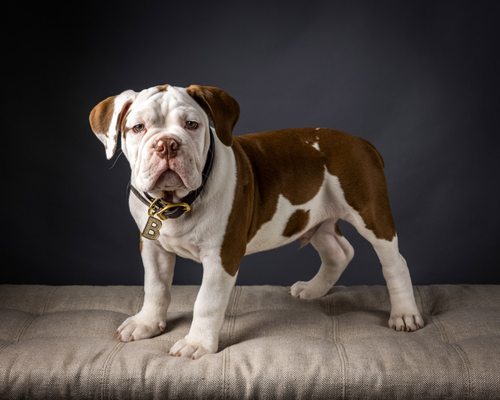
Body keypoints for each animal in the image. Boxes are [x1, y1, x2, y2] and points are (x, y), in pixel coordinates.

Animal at [89, 84, 422, 360]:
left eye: (191, 125)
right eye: (137, 128)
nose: (167, 144)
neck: (175, 202)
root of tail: (361, 142)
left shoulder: (221, 257)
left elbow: (206, 302)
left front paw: (197, 344)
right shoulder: (153, 248)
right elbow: (155, 287)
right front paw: (146, 324)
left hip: (370, 213)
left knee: (394, 262)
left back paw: (404, 314)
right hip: (313, 217)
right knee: (338, 252)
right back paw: (314, 290)